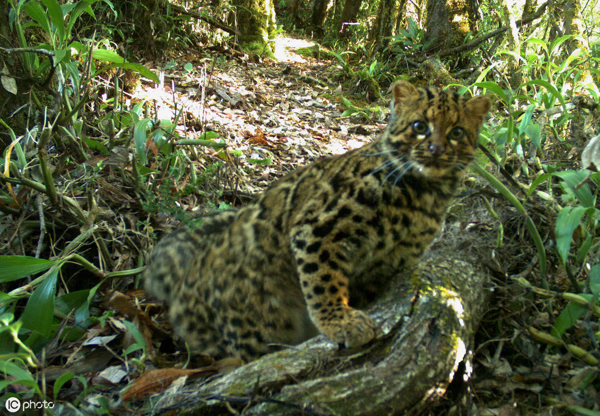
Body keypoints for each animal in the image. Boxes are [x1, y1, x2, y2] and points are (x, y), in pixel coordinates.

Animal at [143, 81, 490, 360]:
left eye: (457, 132)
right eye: (420, 125)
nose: (435, 149)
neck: (424, 195)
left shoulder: (392, 260)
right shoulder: (318, 228)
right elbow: (323, 281)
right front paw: (341, 321)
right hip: (252, 327)